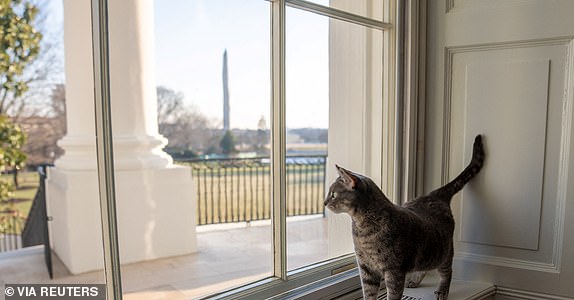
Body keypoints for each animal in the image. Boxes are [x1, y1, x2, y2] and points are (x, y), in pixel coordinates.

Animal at [324, 135, 486, 298]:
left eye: (333, 194)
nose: (324, 203)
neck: (361, 227)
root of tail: (434, 194)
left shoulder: (394, 270)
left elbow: (393, 295)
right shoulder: (366, 268)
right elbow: (368, 294)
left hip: (443, 253)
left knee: (448, 272)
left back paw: (442, 291)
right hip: (428, 256)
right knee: (425, 267)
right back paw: (415, 280)